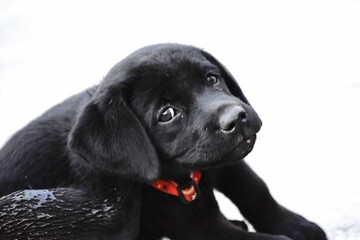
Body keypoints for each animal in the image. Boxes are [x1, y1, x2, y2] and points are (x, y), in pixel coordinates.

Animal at [0, 43, 326, 240]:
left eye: (211, 79)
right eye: (167, 114)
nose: (237, 117)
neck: (185, 177)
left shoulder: (224, 160)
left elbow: (255, 189)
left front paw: (296, 226)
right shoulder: (195, 225)